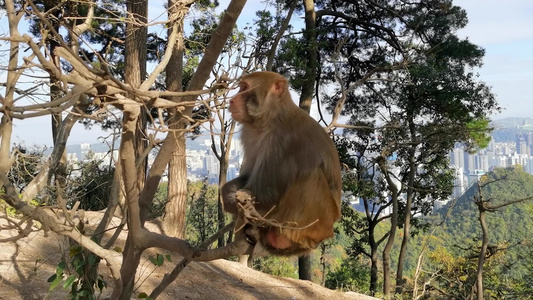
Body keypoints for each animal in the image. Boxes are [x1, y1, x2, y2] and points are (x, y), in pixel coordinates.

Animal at [221, 71, 340, 256]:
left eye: (245, 88)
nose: (232, 100)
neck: (272, 118)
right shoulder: (249, 135)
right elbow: (248, 177)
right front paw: (228, 192)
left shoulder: (282, 140)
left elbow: (265, 194)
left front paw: (233, 201)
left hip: (316, 223)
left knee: (311, 177)